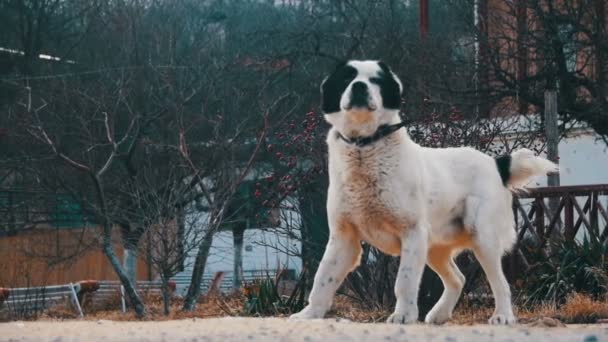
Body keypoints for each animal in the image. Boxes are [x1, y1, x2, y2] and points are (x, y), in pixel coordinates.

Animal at [292, 60, 560, 324]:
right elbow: (323, 277)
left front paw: (403, 315)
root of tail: (496, 163)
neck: (364, 146)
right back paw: (439, 314)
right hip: (433, 247)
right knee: (458, 278)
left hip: (482, 237)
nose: (359, 86)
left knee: (501, 283)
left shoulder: (412, 233)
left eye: (376, 79)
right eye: (347, 78)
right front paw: (310, 313)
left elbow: (404, 281)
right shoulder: (343, 237)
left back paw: (502, 316)